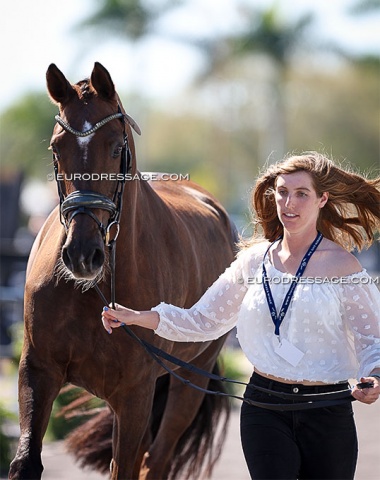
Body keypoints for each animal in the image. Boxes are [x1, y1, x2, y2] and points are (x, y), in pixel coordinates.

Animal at [8, 62, 238, 480]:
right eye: (56, 148)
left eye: (116, 147)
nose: (83, 255)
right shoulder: (37, 372)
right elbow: (26, 462)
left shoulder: (134, 395)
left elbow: (127, 467)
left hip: (191, 379)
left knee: (157, 458)